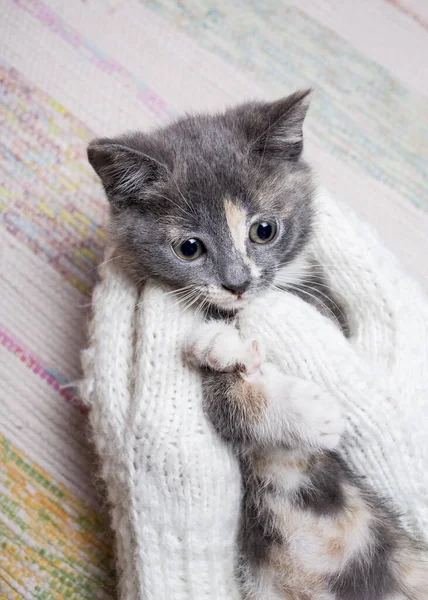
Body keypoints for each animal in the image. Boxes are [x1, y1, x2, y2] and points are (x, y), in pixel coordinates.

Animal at [88, 90, 426, 600]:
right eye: (189, 248)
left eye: (263, 230)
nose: (238, 283)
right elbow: (224, 403)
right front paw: (297, 406)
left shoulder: (320, 302)